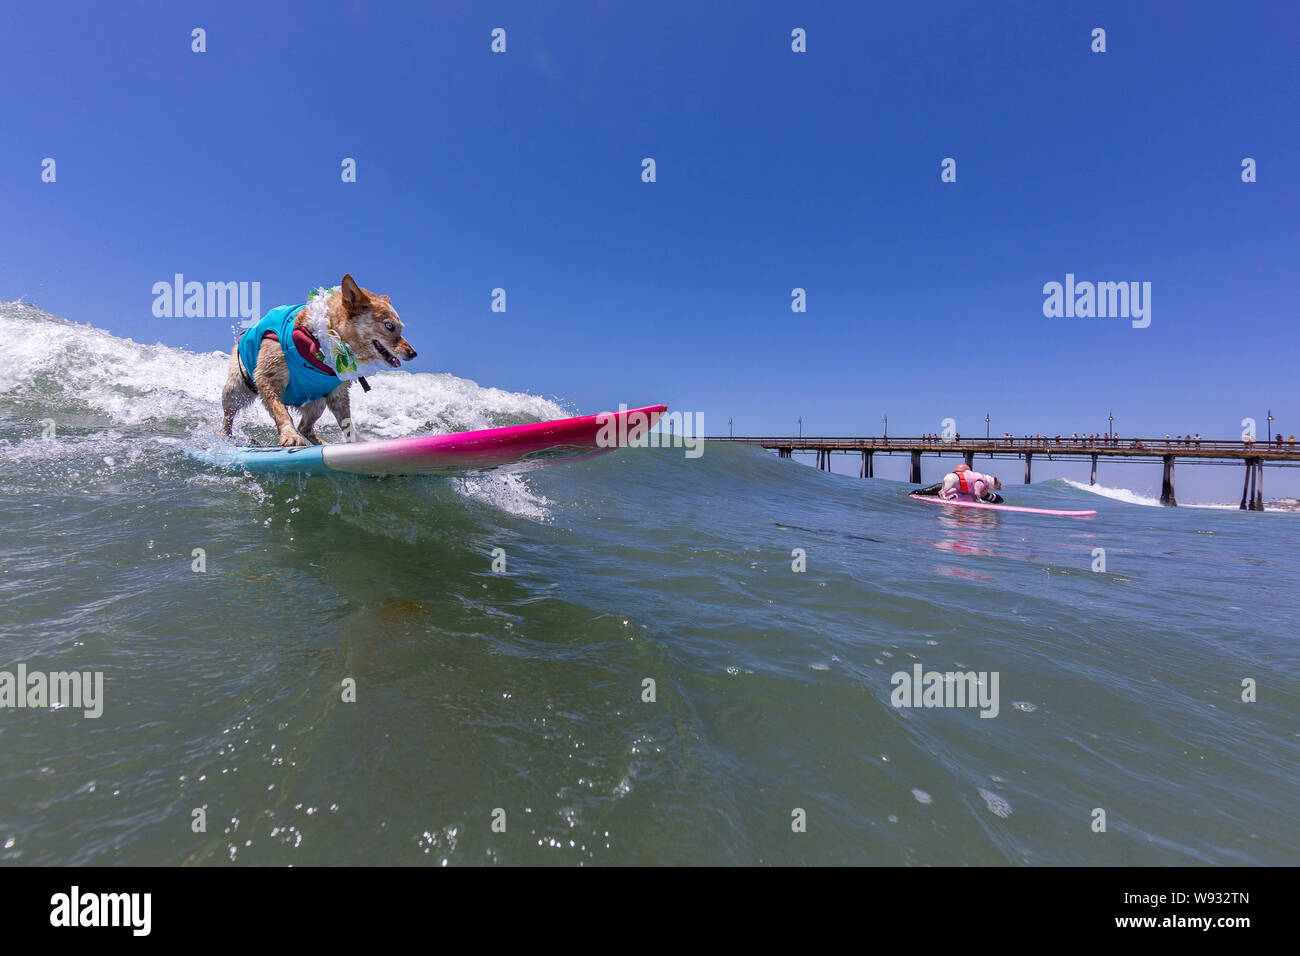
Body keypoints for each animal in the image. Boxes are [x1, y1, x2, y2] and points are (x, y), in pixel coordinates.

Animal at [215, 273, 413, 444]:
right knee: (228, 416)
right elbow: (281, 412)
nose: (413, 353)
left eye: (401, 328)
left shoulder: (338, 394)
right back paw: (225, 436)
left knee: (305, 427)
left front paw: (358, 442)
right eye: (389, 326)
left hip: (317, 403)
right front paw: (289, 435)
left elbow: (347, 423)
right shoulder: (268, 378)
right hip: (237, 388)